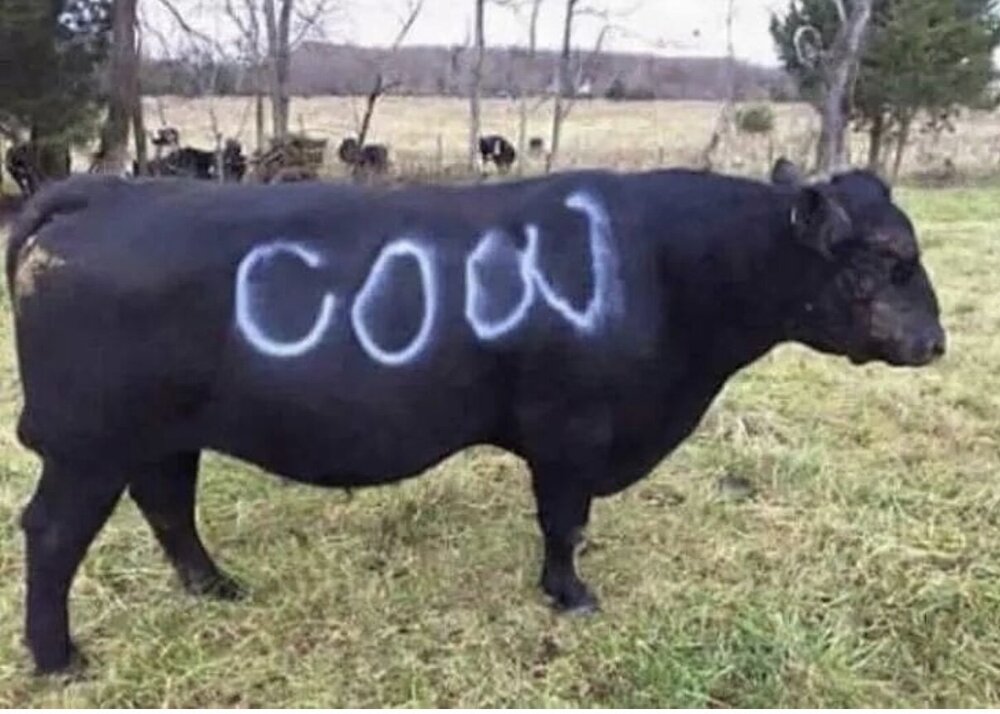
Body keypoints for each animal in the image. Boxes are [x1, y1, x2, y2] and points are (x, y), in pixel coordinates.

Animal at [6, 159, 945, 674]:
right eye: (891, 258)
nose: (936, 340)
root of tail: (106, 193)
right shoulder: (572, 430)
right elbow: (564, 521)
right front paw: (571, 595)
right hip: (88, 444)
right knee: (53, 534)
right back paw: (59, 660)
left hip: (160, 434)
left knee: (168, 503)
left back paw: (217, 588)